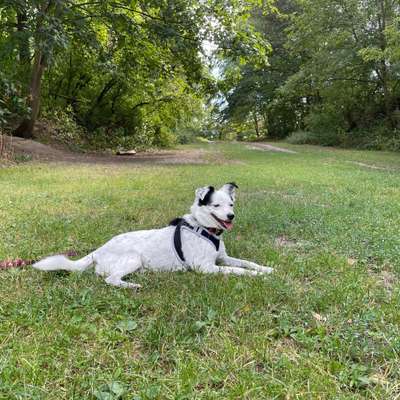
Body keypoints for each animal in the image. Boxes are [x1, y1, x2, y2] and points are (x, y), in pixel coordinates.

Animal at [33, 183, 272, 290]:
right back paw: (132, 286)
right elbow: (238, 270)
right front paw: (258, 276)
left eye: (231, 204)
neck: (203, 228)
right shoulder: (206, 267)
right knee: (110, 279)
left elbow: (246, 262)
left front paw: (266, 269)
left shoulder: (222, 258)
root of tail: (98, 251)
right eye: (216, 206)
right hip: (133, 258)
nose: (231, 216)